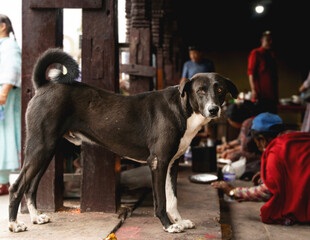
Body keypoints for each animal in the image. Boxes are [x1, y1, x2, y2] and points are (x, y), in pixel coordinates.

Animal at [9, 48, 237, 232]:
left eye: (220, 89)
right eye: (200, 91)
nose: (213, 109)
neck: (181, 109)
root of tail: (44, 85)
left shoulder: (172, 163)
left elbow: (172, 198)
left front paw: (179, 221)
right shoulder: (158, 162)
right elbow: (162, 200)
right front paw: (168, 225)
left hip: (48, 151)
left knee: (30, 186)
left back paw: (36, 217)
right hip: (40, 148)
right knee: (17, 186)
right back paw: (14, 224)